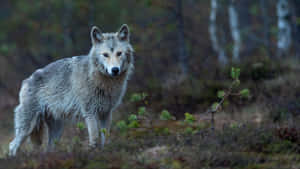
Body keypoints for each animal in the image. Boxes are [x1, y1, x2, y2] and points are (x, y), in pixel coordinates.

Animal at [8, 24, 134, 156]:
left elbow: (106, 137)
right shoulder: (90, 113)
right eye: (105, 54)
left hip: (57, 129)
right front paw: (93, 153)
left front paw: (106, 152)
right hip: (28, 127)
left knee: (48, 147)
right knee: (12, 145)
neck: (102, 82)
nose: (115, 70)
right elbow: (94, 137)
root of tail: (26, 80)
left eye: (119, 53)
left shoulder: (106, 113)